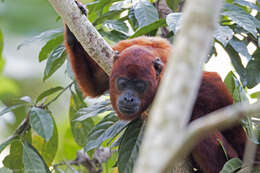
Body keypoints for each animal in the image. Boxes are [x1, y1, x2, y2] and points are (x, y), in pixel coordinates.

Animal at [64, 2, 248, 172]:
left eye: (140, 86)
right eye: (122, 83)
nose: (128, 98)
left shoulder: (168, 74)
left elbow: (212, 83)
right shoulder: (118, 51)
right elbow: (94, 85)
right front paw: (72, 32)